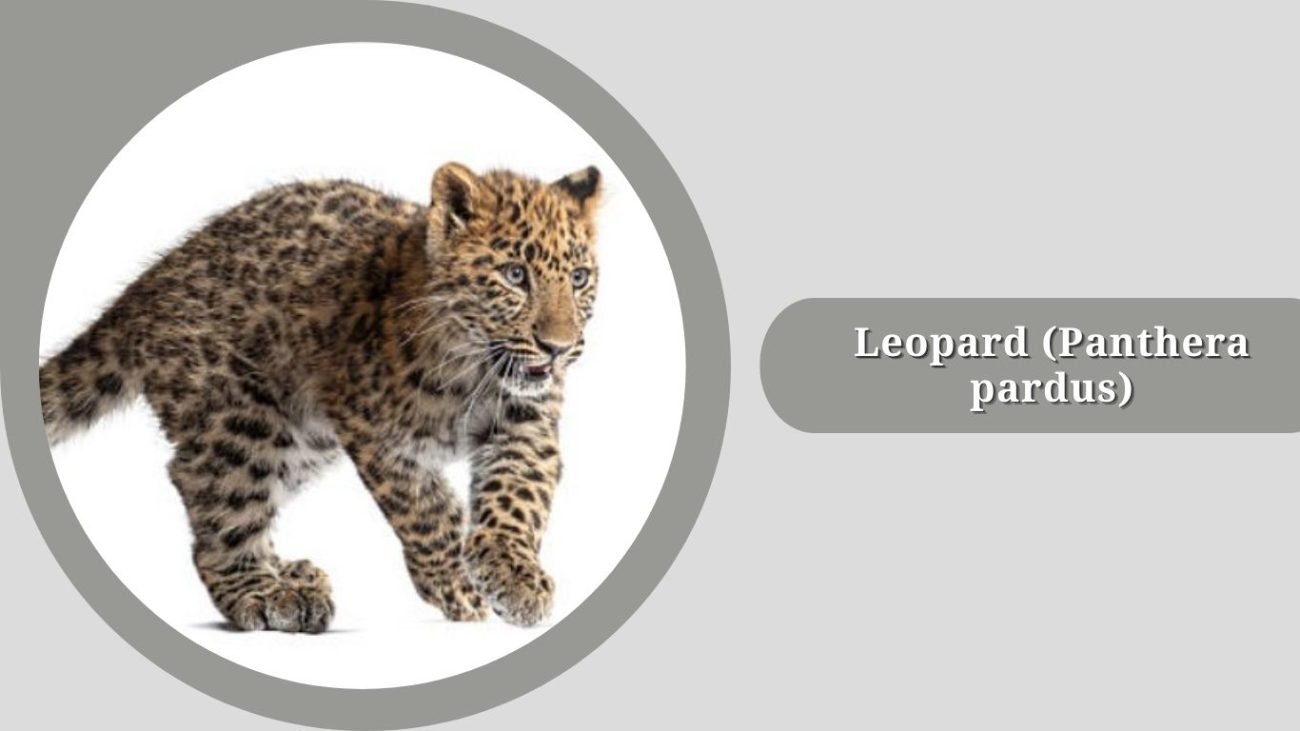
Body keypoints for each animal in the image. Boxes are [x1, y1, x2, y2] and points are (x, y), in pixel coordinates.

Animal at [39, 162, 603, 632]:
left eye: (578, 278)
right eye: (515, 275)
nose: (557, 347)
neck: (474, 367)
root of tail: (147, 287)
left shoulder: (526, 422)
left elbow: (517, 496)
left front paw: (515, 578)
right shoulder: (374, 431)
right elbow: (426, 510)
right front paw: (456, 585)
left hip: (303, 439)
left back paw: (289, 574)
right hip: (244, 421)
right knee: (212, 498)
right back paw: (266, 593)